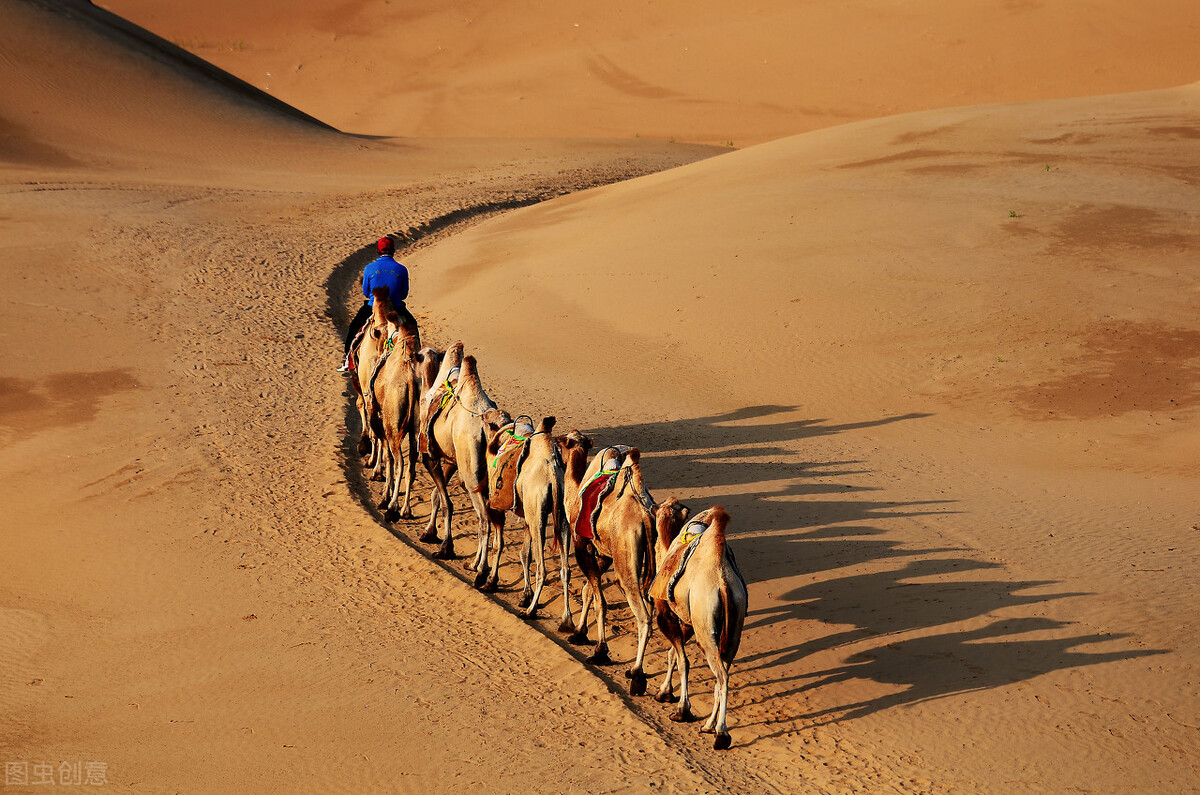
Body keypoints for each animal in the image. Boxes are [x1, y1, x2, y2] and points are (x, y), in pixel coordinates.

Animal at [417, 348, 506, 586]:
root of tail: (488, 427)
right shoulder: (450, 460)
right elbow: (436, 495)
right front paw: (429, 533)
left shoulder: (429, 455)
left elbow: (446, 503)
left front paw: (445, 548)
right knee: (496, 519)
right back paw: (485, 573)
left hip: (470, 473)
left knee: (484, 519)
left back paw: (481, 573)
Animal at [482, 413, 571, 634]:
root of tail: (552, 476)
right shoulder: (527, 514)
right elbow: (525, 553)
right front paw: (525, 595)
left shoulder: (497, 505)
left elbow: (498, 544)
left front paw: (490, 582)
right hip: (560, 515)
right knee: (565, 569)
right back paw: (566, 621)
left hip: (537, 513)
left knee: (542, 568)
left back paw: (530, 611)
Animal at [568, 449, 662, 696]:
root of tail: (645, 517)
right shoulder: (603, 554)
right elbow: (588, 591)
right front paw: (579, 633)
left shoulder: (582, 545)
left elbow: (599, 601)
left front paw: (600, 651)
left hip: (625, 561)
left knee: (643, 616)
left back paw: (637, 676)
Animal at [652, 504, 744, 754]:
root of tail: (723, 583)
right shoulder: (687, 622)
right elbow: (673, 654)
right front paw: (664, 692)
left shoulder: (666, 614)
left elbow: (682, 660)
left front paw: (681, 709)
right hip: (733, 629)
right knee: (723, 672)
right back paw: (708, 725)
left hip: (705, 624)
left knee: (721, 675)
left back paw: (721, 734)